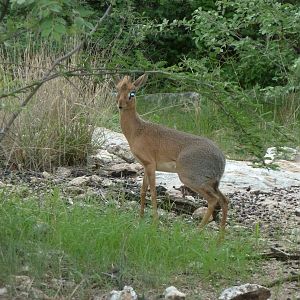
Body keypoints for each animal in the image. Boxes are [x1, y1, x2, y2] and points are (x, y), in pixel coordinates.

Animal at [116, 74, 229, 231]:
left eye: (133, 93)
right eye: (117, 89)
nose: (120, 104)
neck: (137, 131)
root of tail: (222, 159)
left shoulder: (150, 164)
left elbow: (153, 192)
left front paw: (154, 221)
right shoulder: (145, 166)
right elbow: (143, 191)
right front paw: (140, 218)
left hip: (191, 179)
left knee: (214, 200)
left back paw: (198, 230)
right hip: (212, 183)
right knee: (225, 200)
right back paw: (220, 235)